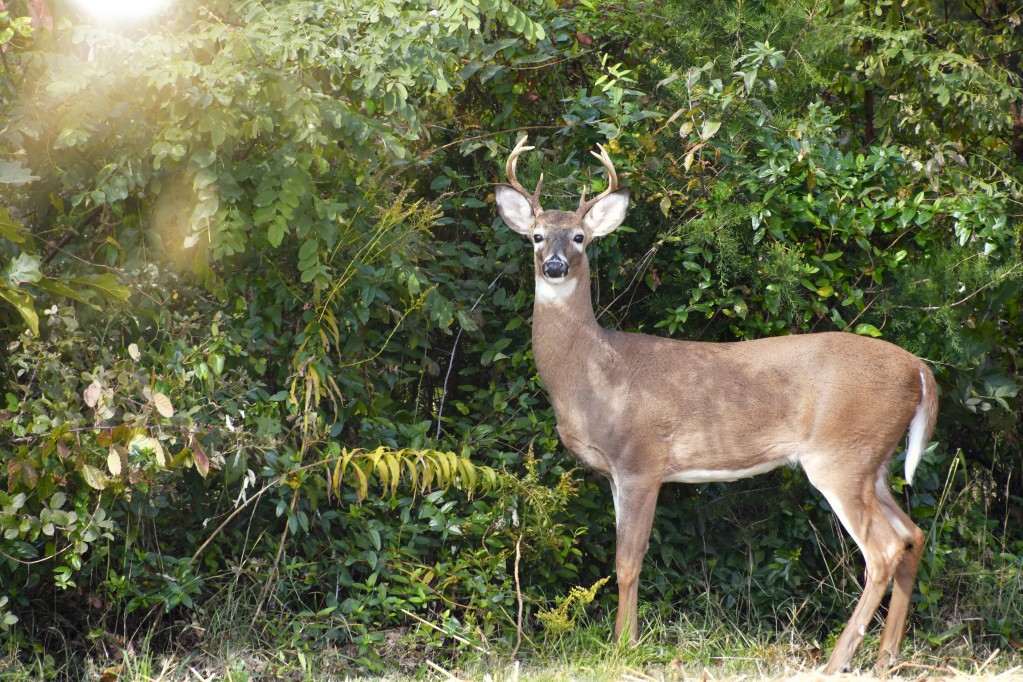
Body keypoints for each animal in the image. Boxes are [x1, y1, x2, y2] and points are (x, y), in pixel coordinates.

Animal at [491, 135, 937, 674]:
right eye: (536, 236)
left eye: (579, 237)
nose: (553, 265)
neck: (594, 372)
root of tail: (919, 368)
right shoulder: (616, 473)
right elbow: (626, 557)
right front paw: (627, 641)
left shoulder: (641, 460)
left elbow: (627, 560)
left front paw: (623, 647)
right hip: (875, 460)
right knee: (913, 534)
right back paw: (885, 657)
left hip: (841, 455)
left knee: (884, 549)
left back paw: (836, 661)